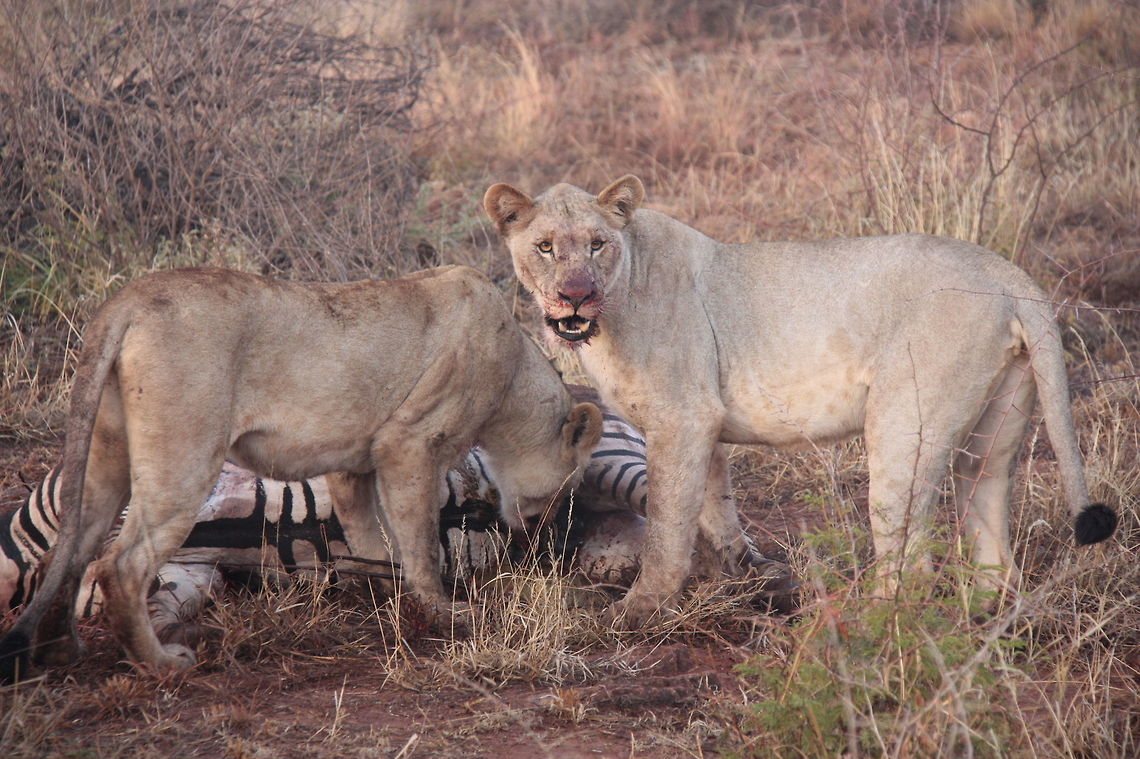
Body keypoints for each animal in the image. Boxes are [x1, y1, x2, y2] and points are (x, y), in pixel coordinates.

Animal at [0, 265, 603, 681]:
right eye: (567, 490)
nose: (545, 538)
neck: (515, 373)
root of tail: (126, 302)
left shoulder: (353, 465)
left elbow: (374, 539)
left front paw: (384, 596)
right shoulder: (409, 444)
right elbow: (419, 543)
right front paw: (447, 614)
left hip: (107, 457)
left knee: (69, 552)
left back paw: (60, 650)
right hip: (184, 458)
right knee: (120, 565)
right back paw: (163, 663)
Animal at [484, 174, 1116, 625]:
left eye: (597, 245)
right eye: (544, 247)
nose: (576, 294)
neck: (611, 313)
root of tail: (1011, 276)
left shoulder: (682, 417)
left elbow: (667, 522)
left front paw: (640, 610)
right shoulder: (704, 424)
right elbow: (715, 509)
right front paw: (745, 581)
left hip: (904, 428)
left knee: (910, 562)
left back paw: (865, 627)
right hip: (996, 427)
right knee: (992, 541)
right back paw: (985, 622)